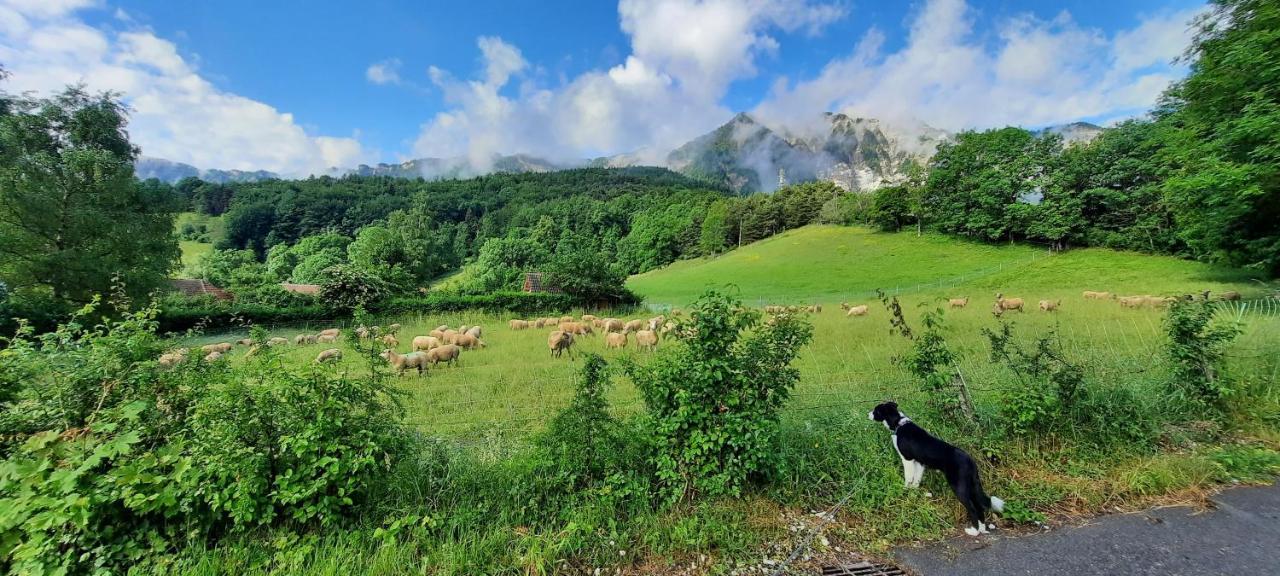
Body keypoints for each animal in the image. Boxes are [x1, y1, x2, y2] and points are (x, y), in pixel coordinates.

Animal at [865, 399, 1003, 535]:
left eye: (876, 410)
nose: (867, 414)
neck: (899, 424)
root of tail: (971, 461)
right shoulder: (919, 463)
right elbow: (916, 480)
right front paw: (914, 494)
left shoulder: (907, 459)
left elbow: (908, 478)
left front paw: (905, 491)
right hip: (972, 485)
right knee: (979, 506)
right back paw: (982, 528)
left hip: (959, 486)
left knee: (973, 508)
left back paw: (974, 531)